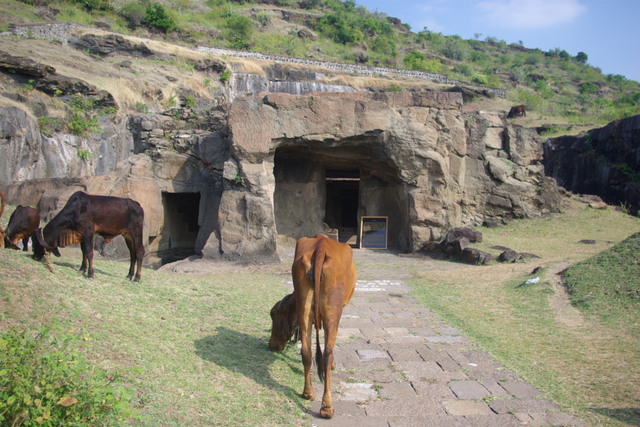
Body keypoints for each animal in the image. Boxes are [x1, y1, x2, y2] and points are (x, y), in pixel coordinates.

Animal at [268, 234, 358, 418]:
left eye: (274, 316)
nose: (271, 344)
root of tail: (321, 245)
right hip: (333, 311)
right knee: (327, 352)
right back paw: (327, 406)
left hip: (305, 306)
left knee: (306, 351)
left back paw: (308, 392)